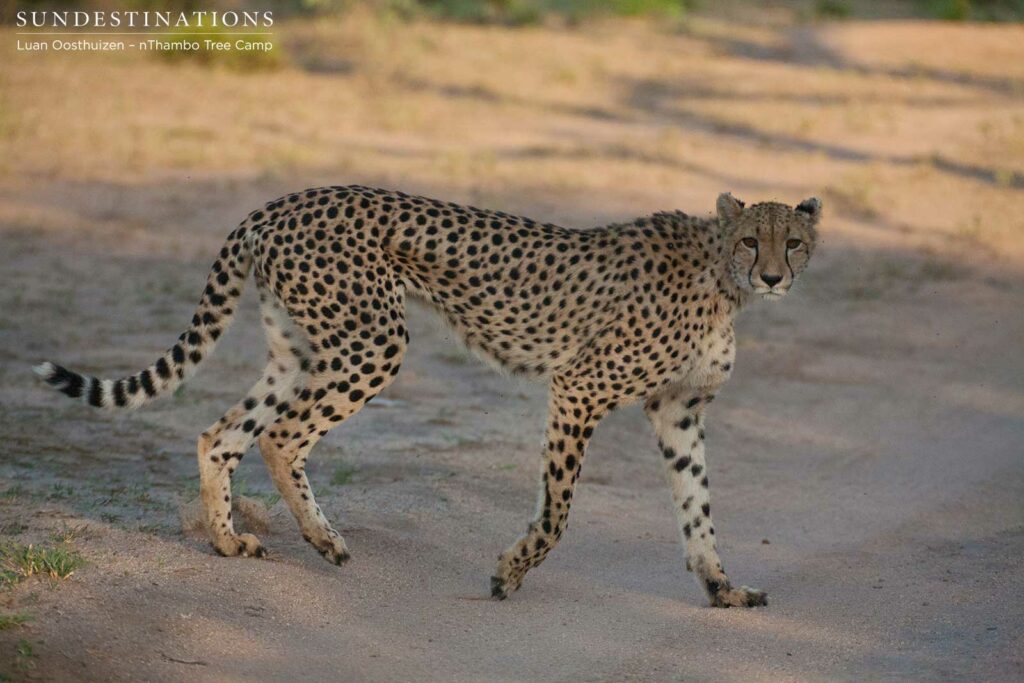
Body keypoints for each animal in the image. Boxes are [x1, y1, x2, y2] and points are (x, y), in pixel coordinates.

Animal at [34, 186, 821, 607]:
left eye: (794, 242)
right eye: (751, 240)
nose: (775, 276)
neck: (722, 277)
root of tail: (283, 202)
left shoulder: (678, 410)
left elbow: (698, 509)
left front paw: (722, 589)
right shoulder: (580, 387)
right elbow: (558, 511)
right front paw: (509, 572)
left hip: (301, 349)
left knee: (222, 432)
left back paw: (231, 540)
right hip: (373, 340)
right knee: (280, 436)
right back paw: (322, 539)